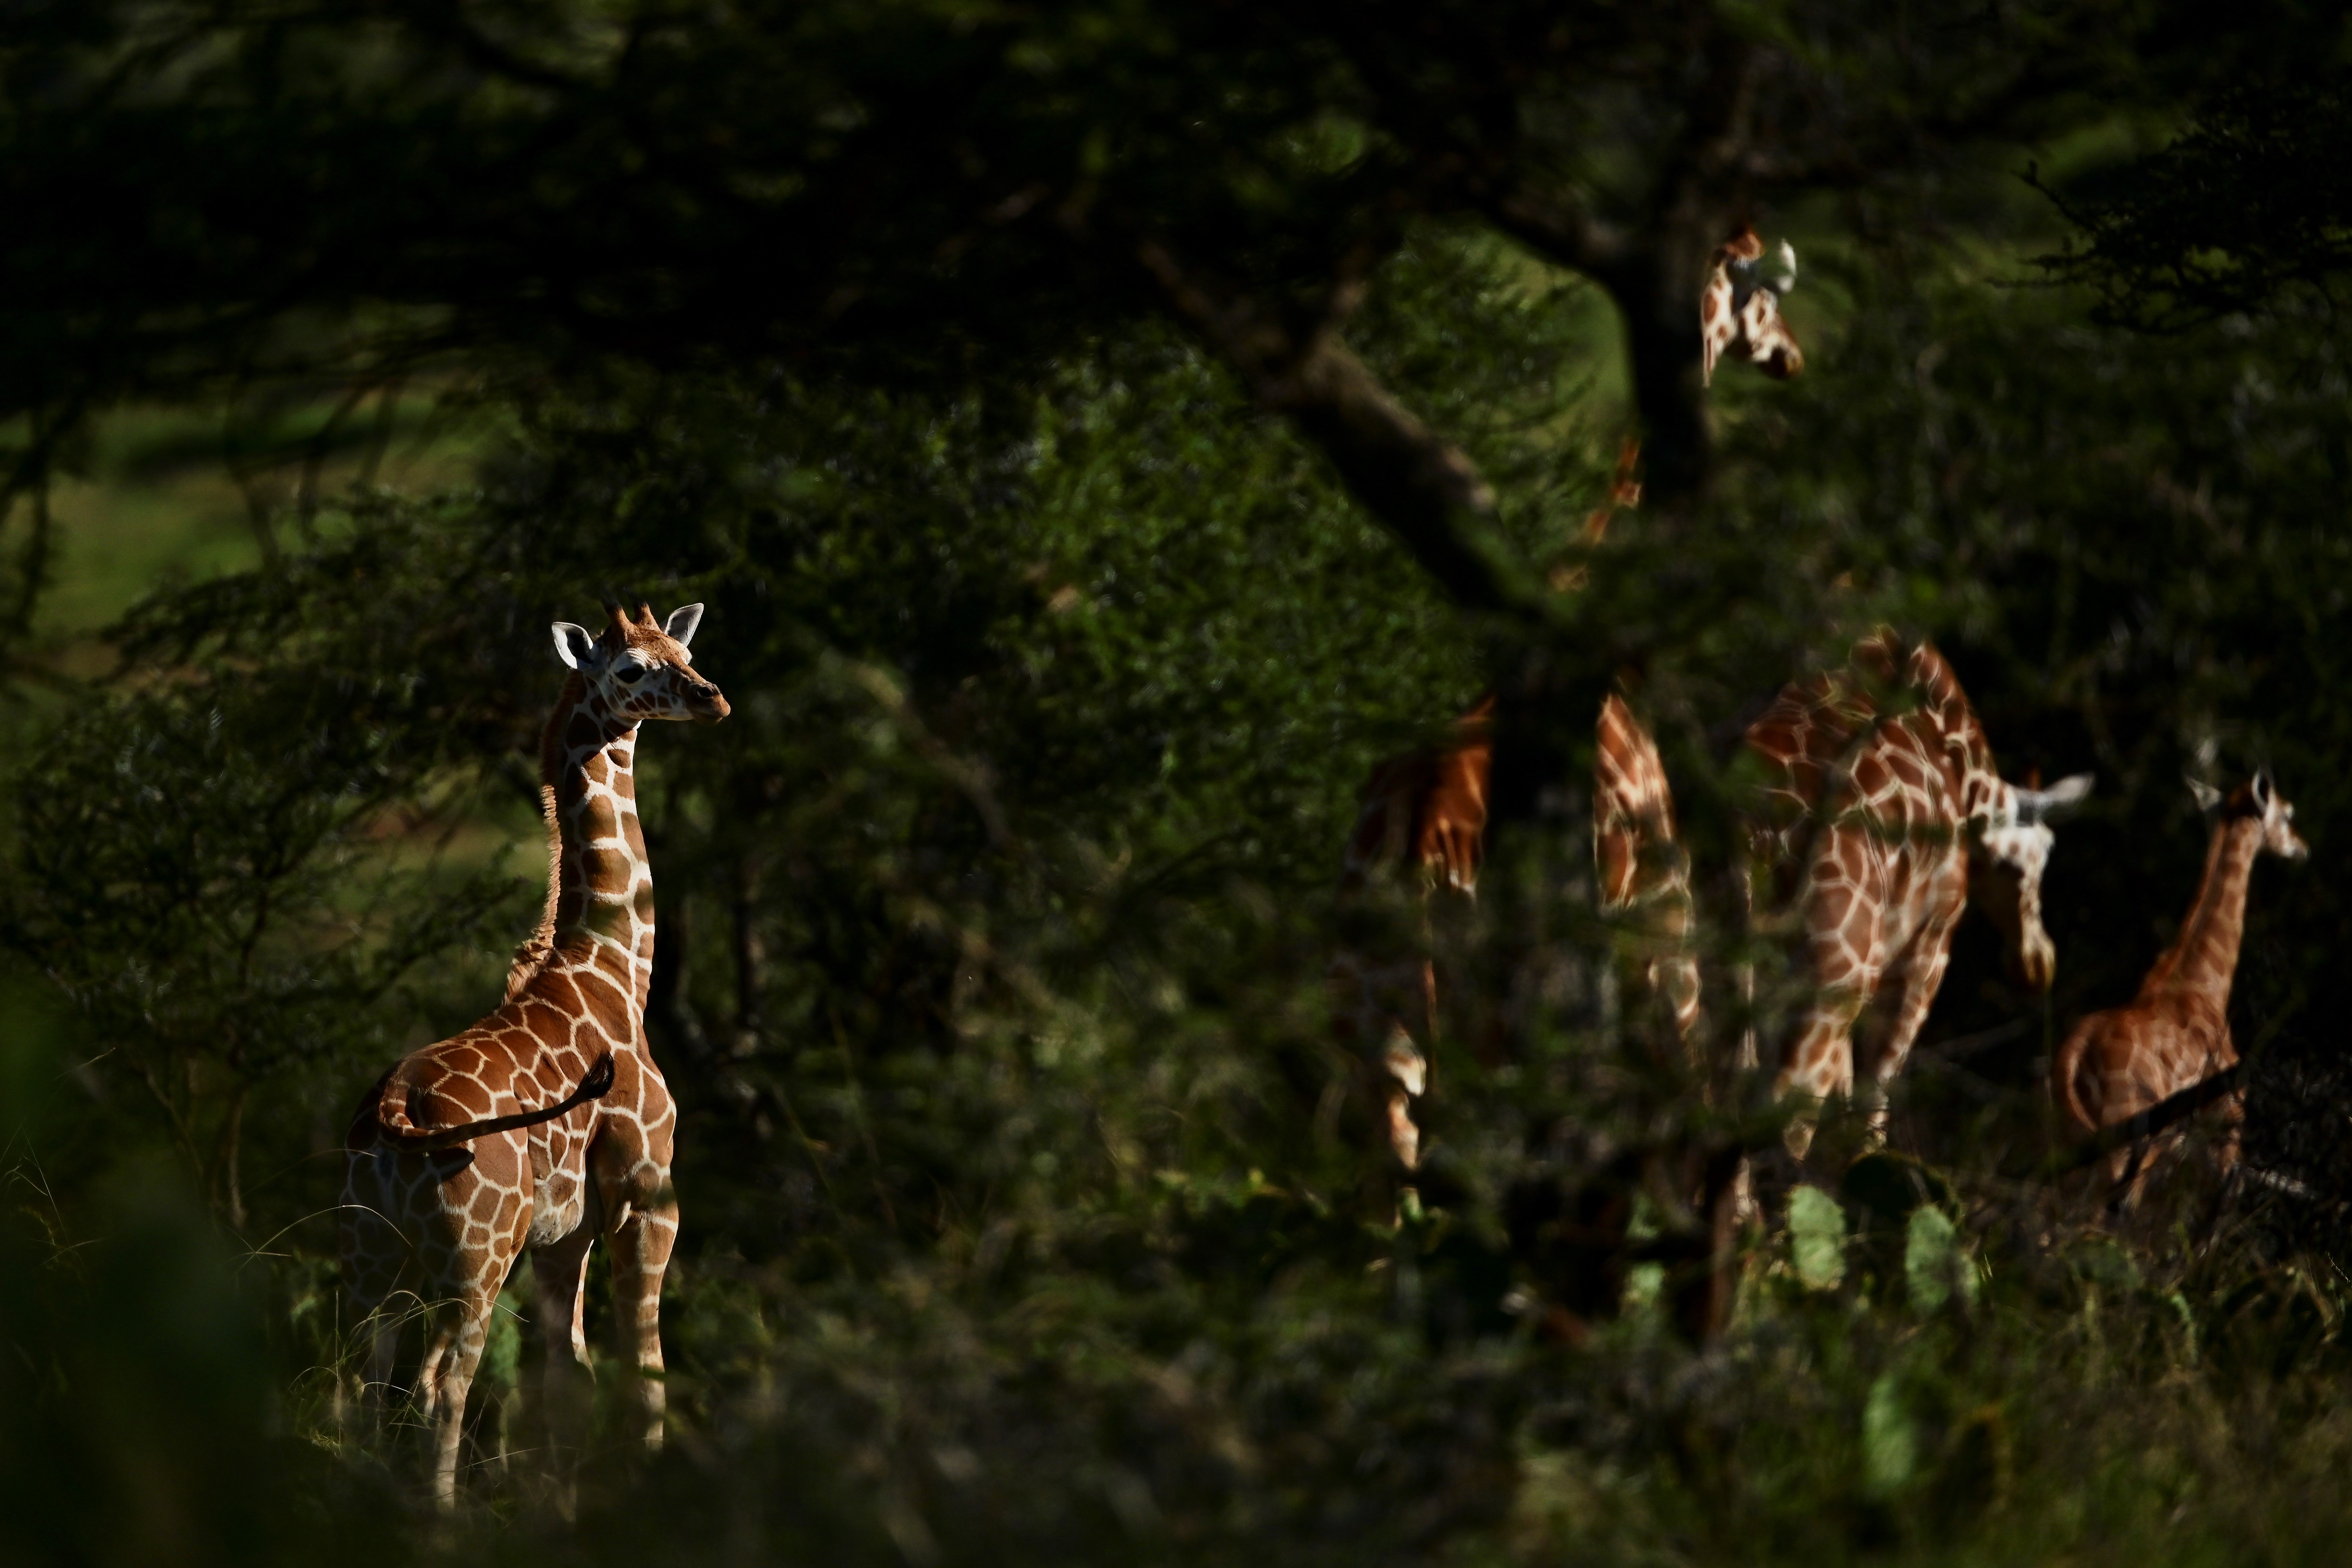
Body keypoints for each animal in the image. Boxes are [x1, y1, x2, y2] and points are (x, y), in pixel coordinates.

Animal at [341, 602, 724, 1504]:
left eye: (684, 649)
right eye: (629, 669)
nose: (712, 698)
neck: (616, 968)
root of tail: (394, 1116)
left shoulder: (562, 1236)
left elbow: (566, 1375)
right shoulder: (648, 1195)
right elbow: (643, 1370)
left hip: (376, 1250)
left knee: (366, 1376)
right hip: (475, 1256)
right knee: (443, 1380)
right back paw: (440, 1514)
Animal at [1749, 630, 2098, 1161]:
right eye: (2043, 853)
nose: (2038, 966)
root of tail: (1761, 836)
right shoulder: (1925, 950)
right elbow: (1869, 1109)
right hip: (1831, 977)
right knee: (1780, 1120)